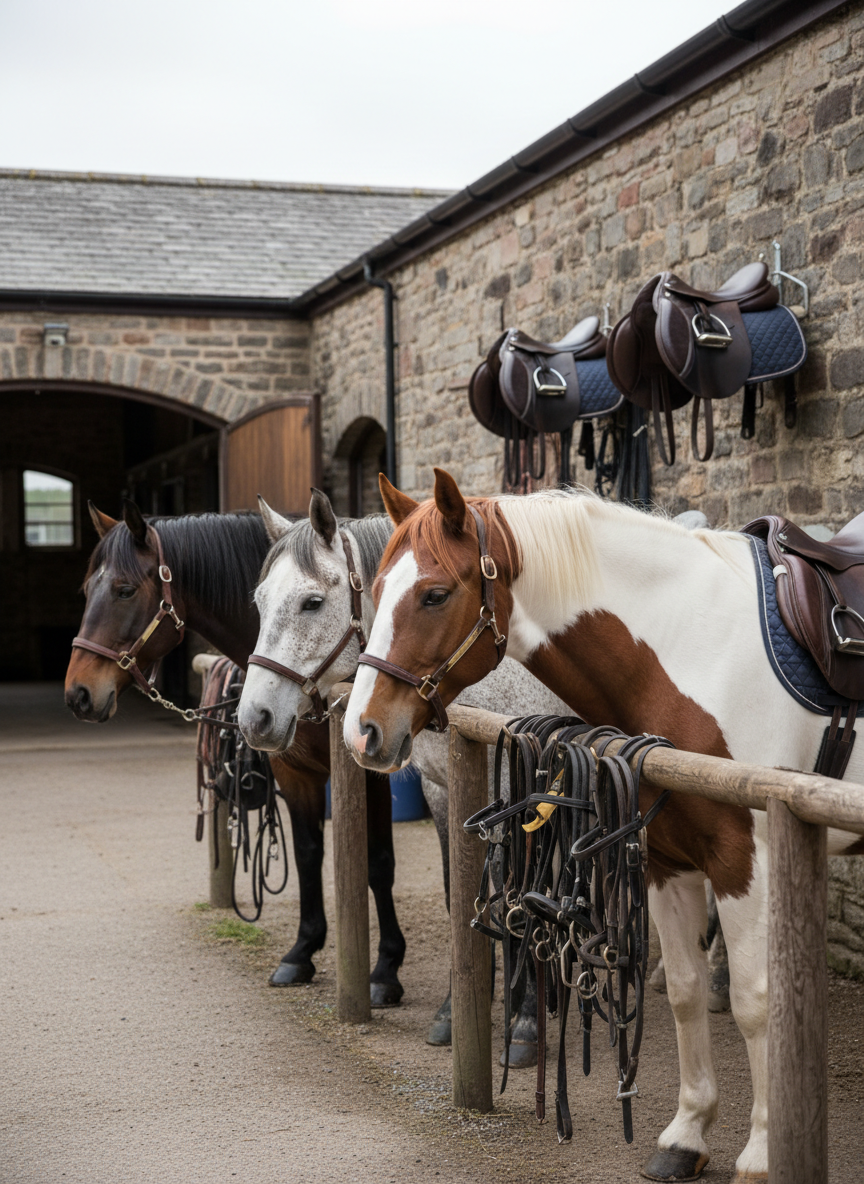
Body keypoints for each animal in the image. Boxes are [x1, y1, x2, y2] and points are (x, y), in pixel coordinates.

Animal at [64, 500, 407, 1006]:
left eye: (124, 590)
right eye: (88, 590)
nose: (78, 694)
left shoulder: (371, 773)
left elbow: (379, 862)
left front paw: (385, 968)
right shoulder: (294, 771)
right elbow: (307, 853)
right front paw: (302, 951)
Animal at [235, 487, 571, 1055]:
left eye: (311, 602)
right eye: (257, 603)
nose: (253, 718)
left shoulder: (521, 791)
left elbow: (516, 896)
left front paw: (523, 1021)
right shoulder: (443, 791)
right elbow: (461, 893)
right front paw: (457, 1012)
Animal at [341, 468, 864, 1183]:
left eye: (435, 594)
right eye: (374, 590)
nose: (361, 731)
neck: (691, 650)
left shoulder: (744, 860)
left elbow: (756, 1002)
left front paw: (761, 1153)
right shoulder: (668, 861)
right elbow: (684, 993)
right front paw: (686, 1136)